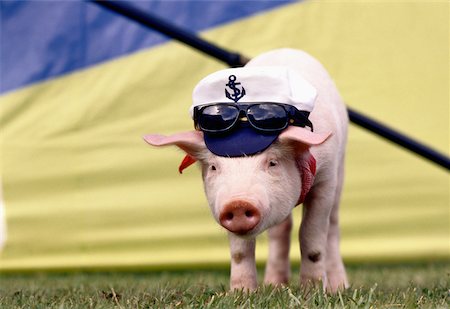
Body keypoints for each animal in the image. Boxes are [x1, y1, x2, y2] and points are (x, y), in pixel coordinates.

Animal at [144, 48, 348, 292]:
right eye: (214, 167)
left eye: (272, 163)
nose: (238, 204)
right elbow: (240, 251)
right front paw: (242, 293)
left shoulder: (325, 178)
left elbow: (311, 237)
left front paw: (313, 291)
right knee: (281, 230)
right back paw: (274, 284)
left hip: (340, 169)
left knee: (332, 226)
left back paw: (339, 286)